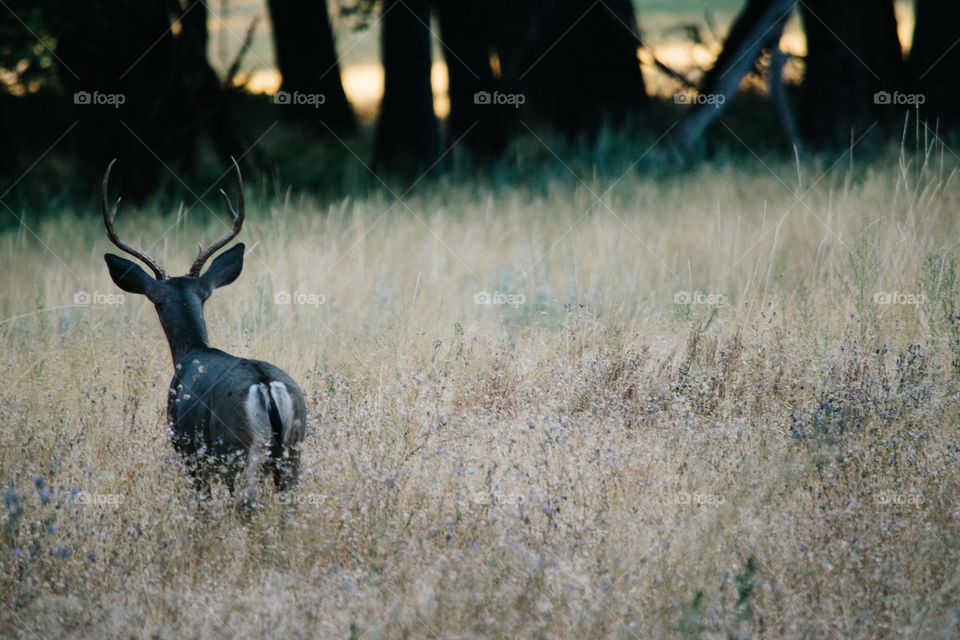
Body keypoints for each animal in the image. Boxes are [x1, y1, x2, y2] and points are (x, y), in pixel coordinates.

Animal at [101, 159, 306, 504]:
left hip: (239, 449)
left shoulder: (190, 454)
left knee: (248, 500)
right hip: (294, 449)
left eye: (156, 302)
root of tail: (266, 386)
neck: (192, 352)